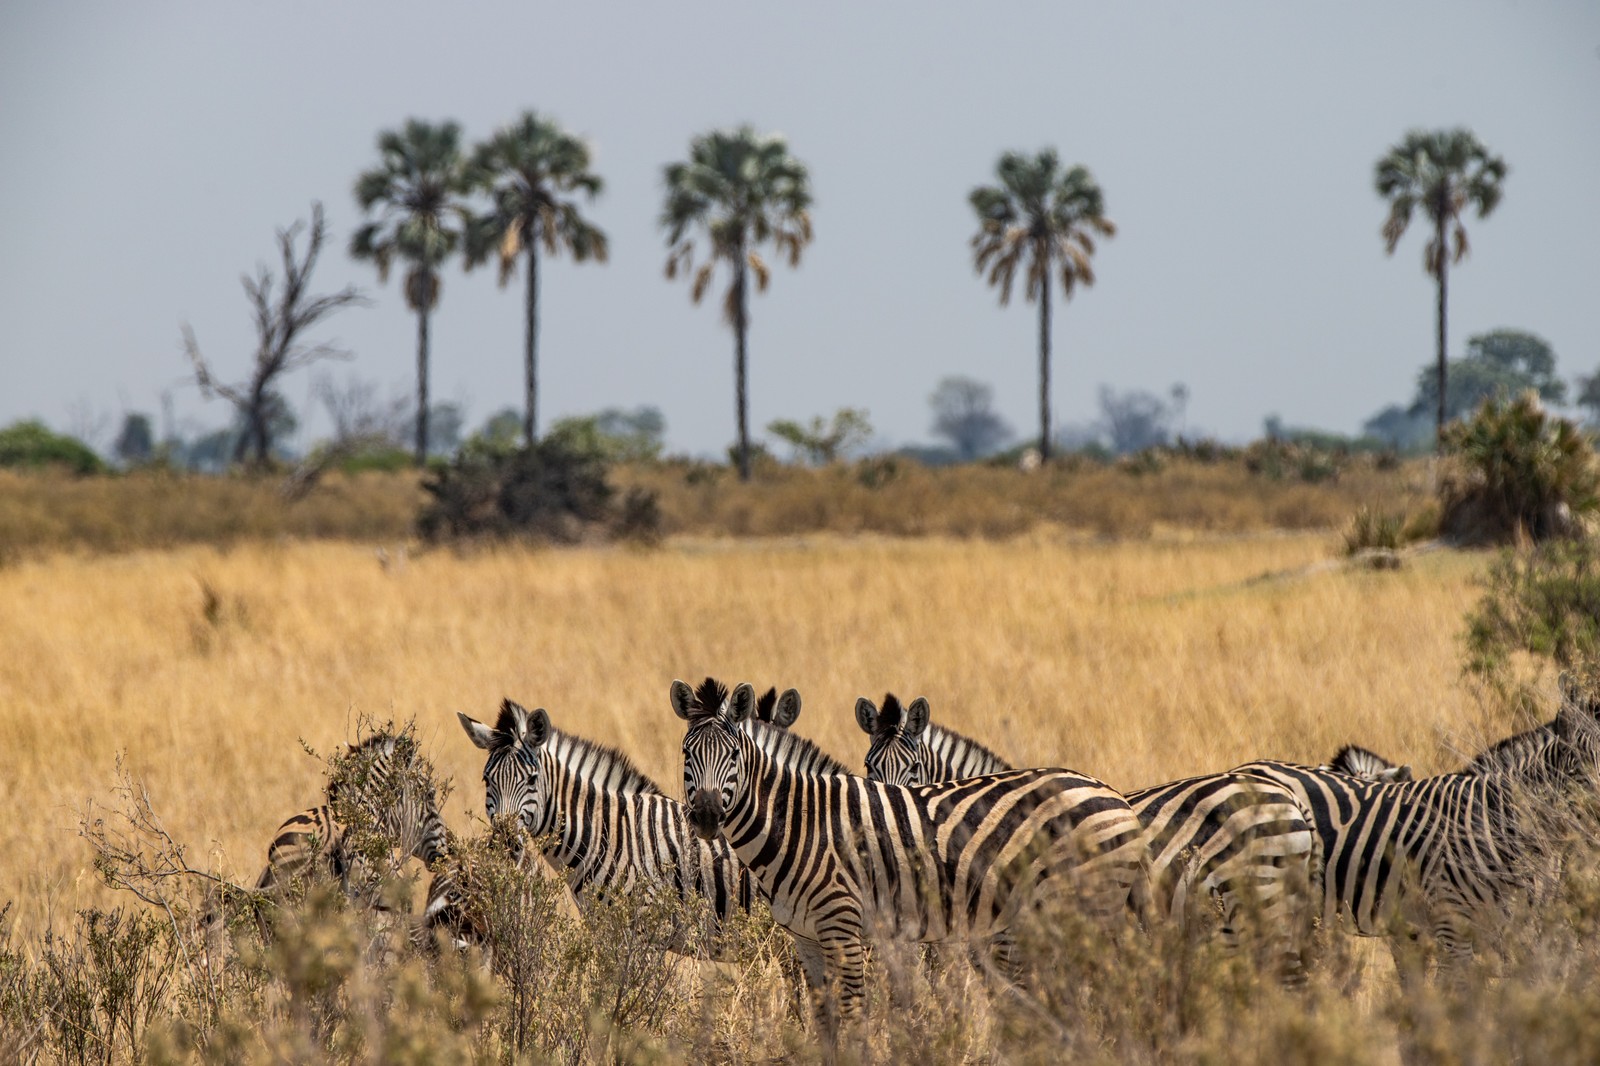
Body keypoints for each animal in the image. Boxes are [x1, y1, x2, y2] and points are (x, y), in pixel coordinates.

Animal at [675, 675, 1152, 1017]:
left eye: (733, 755)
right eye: (686, 754)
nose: (707, 817)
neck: (798, 818)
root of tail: (1115, 796)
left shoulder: (847, 929)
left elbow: (858, 1016)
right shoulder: (806, 938)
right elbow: (826, 1020)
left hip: (1088, 910)